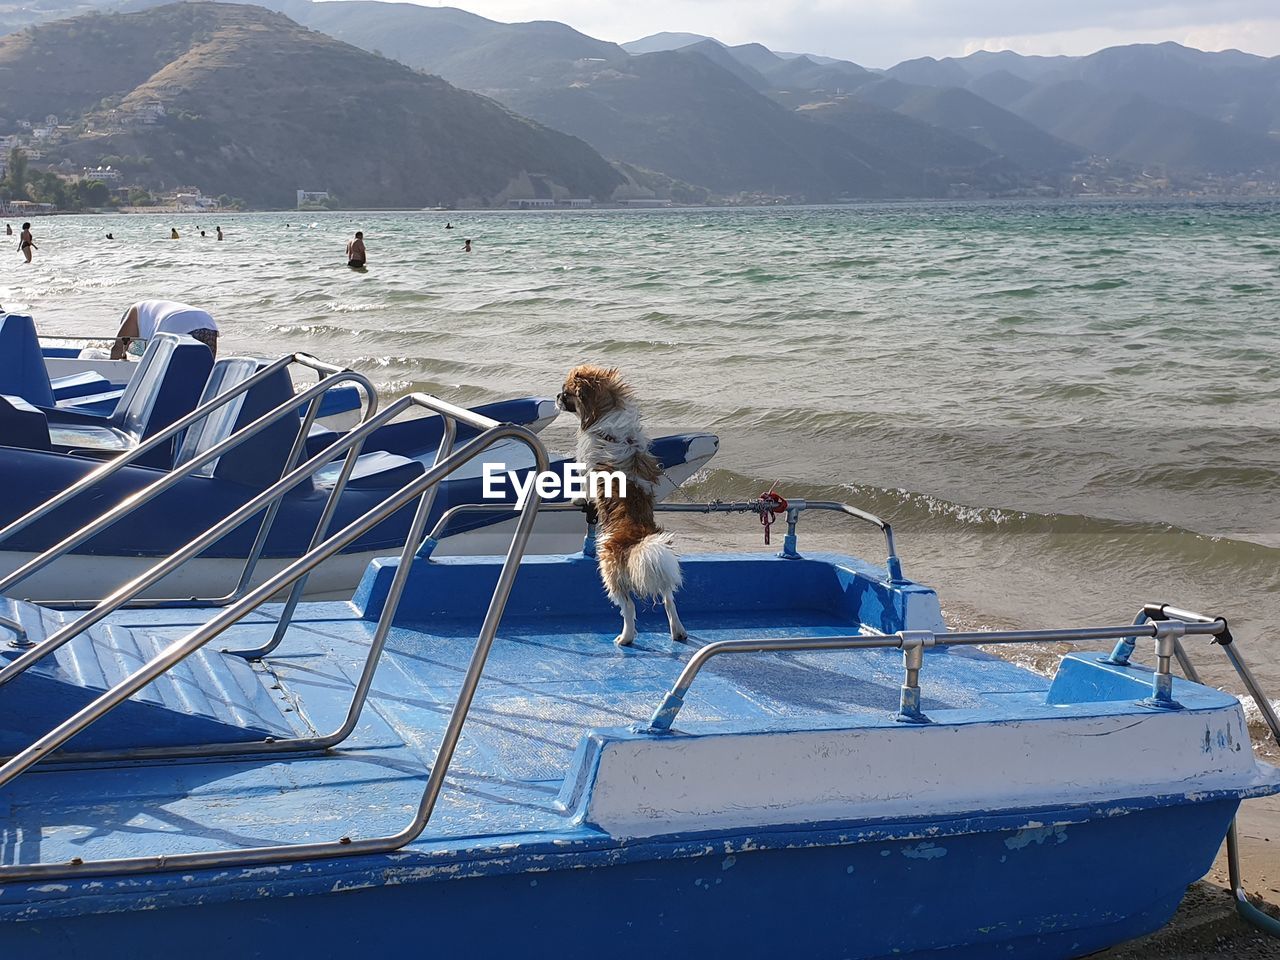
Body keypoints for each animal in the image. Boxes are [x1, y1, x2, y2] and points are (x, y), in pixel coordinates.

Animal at [555, 363, 686, 650]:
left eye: (566, 393)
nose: (556, 397)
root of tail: (638, 536)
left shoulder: (587, 466)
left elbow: (584, 487)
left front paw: (578, 499)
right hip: (660, 567)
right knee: (669, 599)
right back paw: (678, 631)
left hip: (610, 570)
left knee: (628, 607)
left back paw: (625, 637)